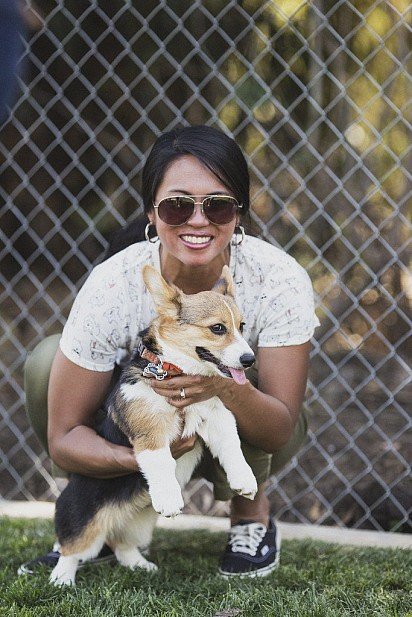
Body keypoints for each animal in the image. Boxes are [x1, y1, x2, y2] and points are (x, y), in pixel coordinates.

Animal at [50, 264, 258, 584]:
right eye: (218, 328)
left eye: (242, 326)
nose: (249, 360)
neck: (174, 371)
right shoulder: (150, 432)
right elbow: (161, 463)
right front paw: (170, 500)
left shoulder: (217, 418)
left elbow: (233, 447)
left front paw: (245, 480)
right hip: (84, 522)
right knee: (72, 549)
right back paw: (61, 579)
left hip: (140, 523)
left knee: (122, 544)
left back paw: (139, 565)